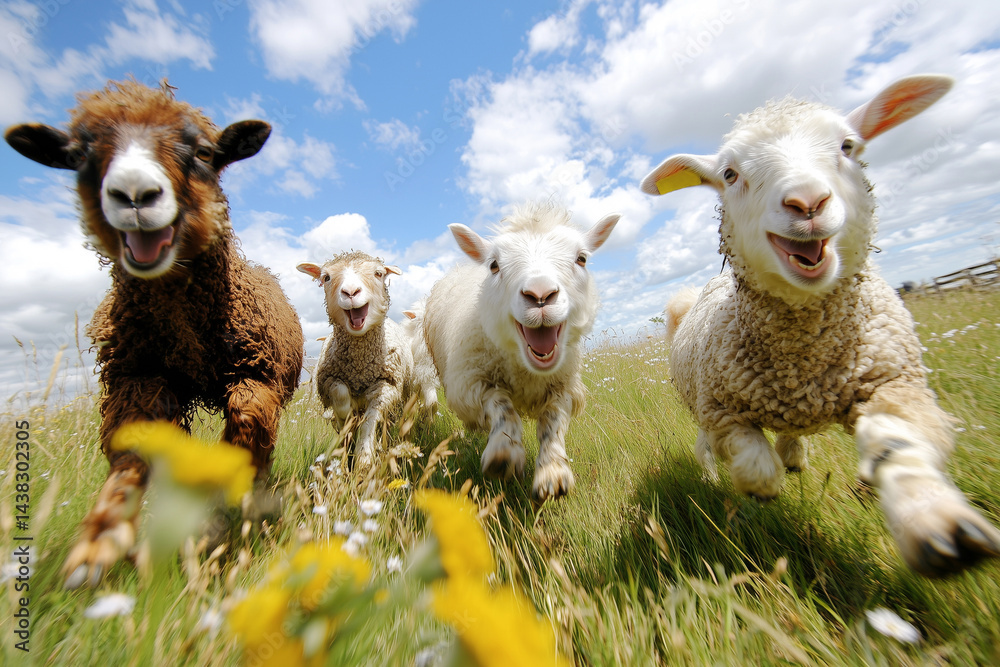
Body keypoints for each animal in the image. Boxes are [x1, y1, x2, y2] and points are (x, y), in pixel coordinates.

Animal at [5, 80, 305, 588]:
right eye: (78, 155)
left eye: (205, 153)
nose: (134, 195)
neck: (190, 337)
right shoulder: (138, 376)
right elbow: (133, 447)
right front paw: (98, 545)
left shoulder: (257, 375)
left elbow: (246, 424)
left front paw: (216, 515)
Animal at [297, 251, 415, 467]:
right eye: (326, 277)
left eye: (378, 273)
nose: (351, 292)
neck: (359, 367)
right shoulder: (329, 379)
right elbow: (341, 396)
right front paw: (346, 419)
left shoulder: (387, 385)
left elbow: (370, 420)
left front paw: (365, 457)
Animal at [423, 203, 619, 501]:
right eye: (494, 265)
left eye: (582, 259)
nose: (540, 295)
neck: (526, 372)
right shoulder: (472, 383)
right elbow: (501, 405)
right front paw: (503, 454)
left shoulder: (564, 388)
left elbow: (552, 422)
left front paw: (553, 473)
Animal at [640, 74, 1000, 576]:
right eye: (729, 174)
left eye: (848, 146)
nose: (807, 202)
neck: (805, 360)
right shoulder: (722, 409)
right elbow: (754, 464)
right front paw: (760, 489)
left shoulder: (895, 382)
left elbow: (897, 441)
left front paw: (937, 521)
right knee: (709, 445)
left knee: (790, 431)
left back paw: (795, 454)